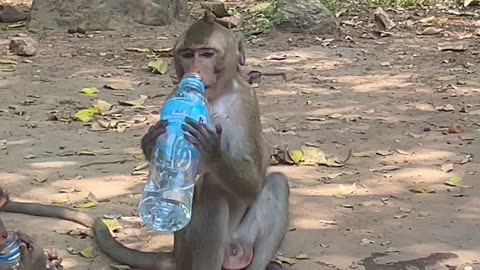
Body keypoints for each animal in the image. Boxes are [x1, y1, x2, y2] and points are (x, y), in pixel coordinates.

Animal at [0, 11, 288, 270]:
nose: (195, 70)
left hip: (239, 240)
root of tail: (175, 256)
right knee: (210, 189)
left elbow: (253, 183)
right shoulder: (174, 94)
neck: (212, 98)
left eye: (207, 54)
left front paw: (210, 148)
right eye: (187, 55)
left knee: (275, 183)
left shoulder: (247, 102)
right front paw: (152, 141)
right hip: (187, 248)